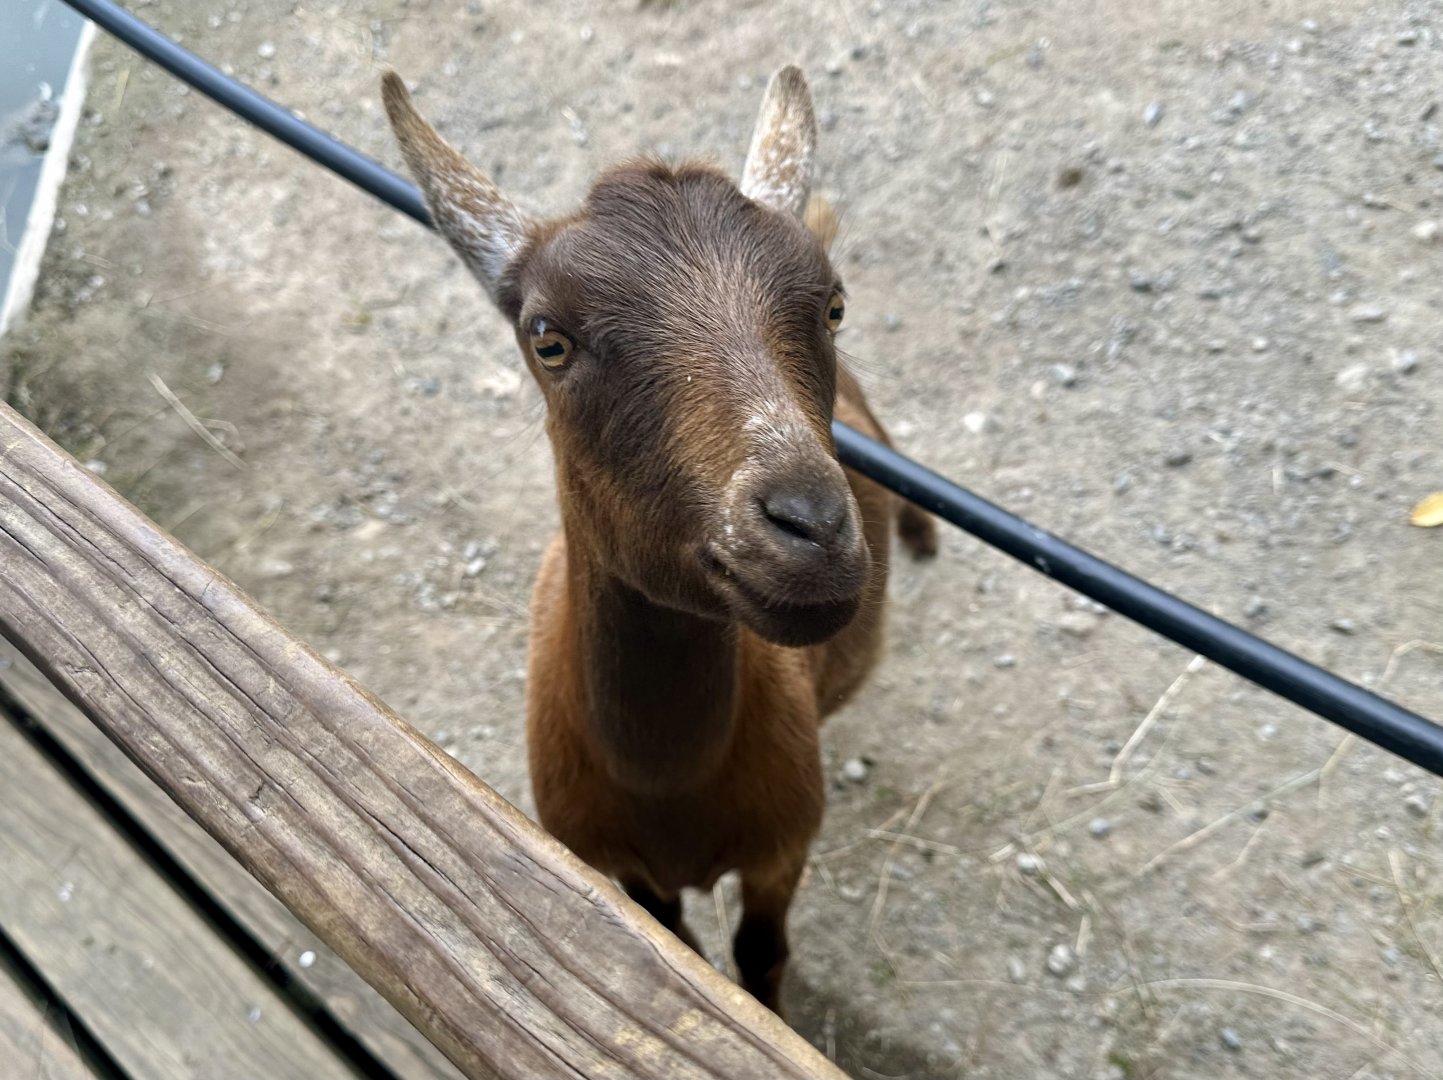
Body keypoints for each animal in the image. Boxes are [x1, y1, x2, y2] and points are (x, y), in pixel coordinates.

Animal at [382, 66, 935, 1013]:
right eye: (548, 340)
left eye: (832, 305)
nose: (814, 530)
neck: (667, 780)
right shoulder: (622, 870)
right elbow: (679, 943)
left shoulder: (782, 849)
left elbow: (759, 956)